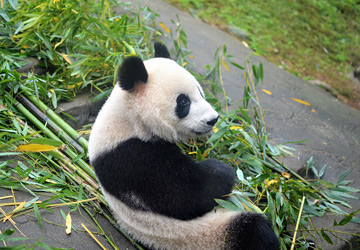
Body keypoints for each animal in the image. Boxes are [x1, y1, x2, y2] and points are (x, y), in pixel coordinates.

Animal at [88, 43, 280, 250]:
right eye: (183, 101)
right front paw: (224, 170)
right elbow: (185, 196)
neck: (129, 119)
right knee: (254, 232)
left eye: (201, 92)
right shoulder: (131, 156)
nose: (213, 120)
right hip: (207, 235)